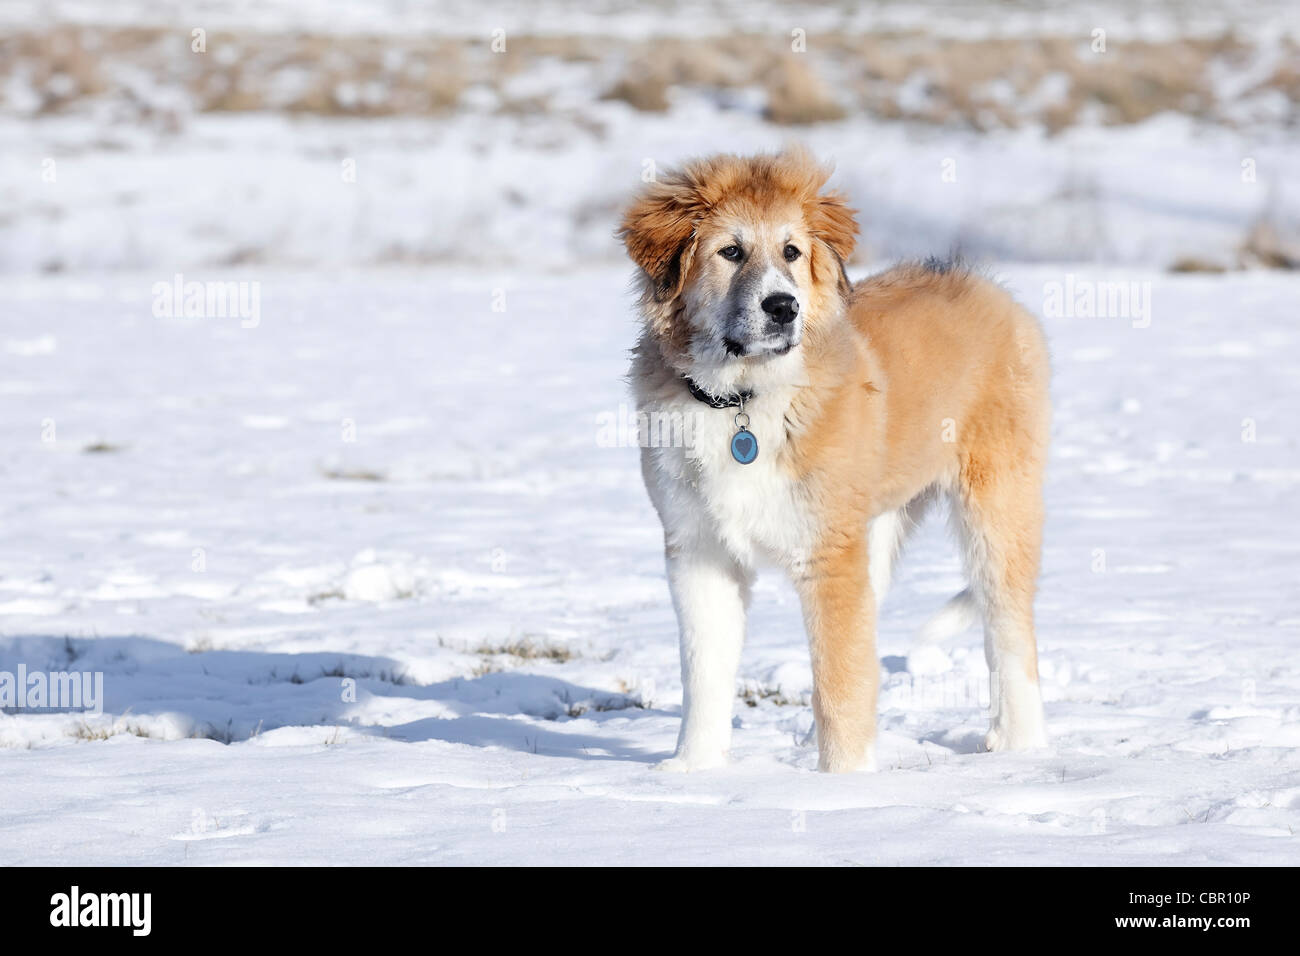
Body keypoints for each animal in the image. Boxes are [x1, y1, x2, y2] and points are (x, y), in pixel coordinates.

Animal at [618, 151, 1055, 780]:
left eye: (791, 252)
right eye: (730, 252)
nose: (783, 307)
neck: (741, 401)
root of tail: (984, 285)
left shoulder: (829, 554)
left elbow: (839, 680)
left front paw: (842, 784)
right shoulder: (698, 550)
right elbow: (704, 674)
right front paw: (693, 770)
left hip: (996, 509)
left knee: (1010, 629)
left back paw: (1019, 745)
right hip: (876, 529)